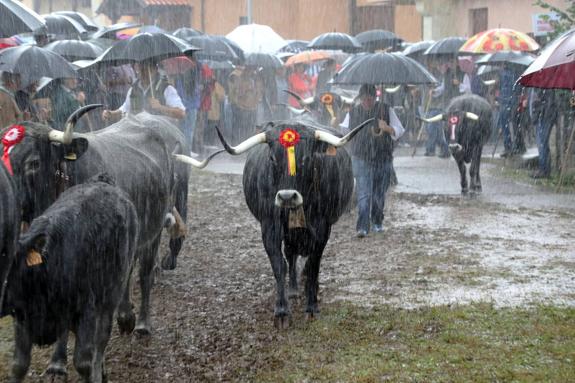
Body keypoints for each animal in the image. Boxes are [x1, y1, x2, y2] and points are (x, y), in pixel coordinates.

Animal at [216, 120, 374, 330]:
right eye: (272, 158)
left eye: (306, 158)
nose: (286, 197)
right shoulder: (269, 226)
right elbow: (279, 265)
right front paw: (282, 311)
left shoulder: (322, 228)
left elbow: (314, 265)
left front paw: (312, 308)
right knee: (290, 255)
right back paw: (292, 289)